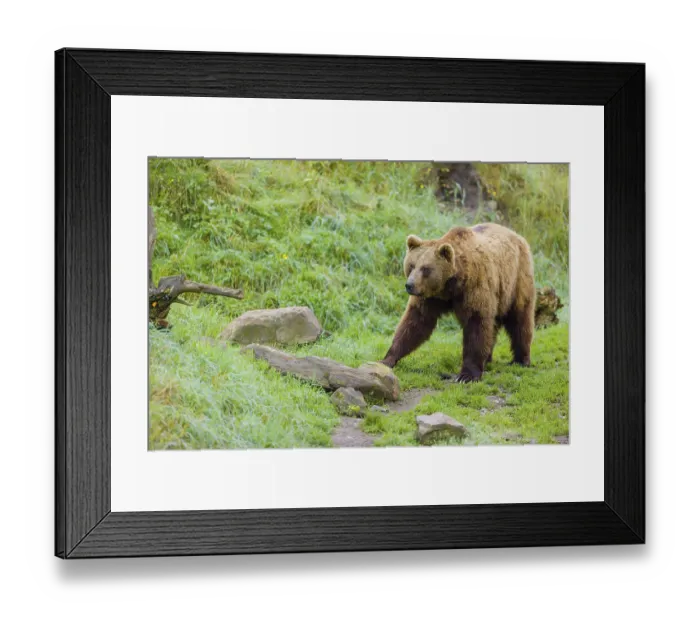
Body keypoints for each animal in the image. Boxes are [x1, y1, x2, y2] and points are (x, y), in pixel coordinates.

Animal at [380, 223, 535, 383]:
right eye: (411, 265)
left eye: (425, 269)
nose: (409, 285)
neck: (450, 286)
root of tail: (516, 234)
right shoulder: (430, 298)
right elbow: (415, 322)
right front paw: (387, 359)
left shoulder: (474, 287)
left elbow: (476, 324)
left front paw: (467, 375)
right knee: (494, 324)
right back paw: (488, 358)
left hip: (517, 278)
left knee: (520, 318)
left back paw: (521, 360)